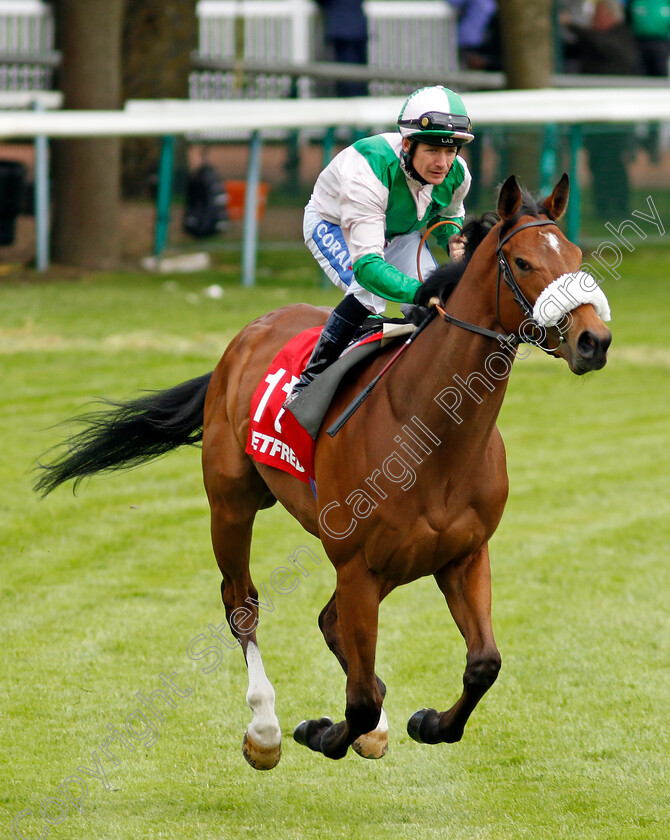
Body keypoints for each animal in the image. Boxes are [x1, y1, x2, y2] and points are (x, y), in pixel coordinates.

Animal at [36, 174, 616, 772]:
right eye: (523, 262)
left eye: (575, 255)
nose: (593, 340)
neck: (430, 433)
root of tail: (249, 333)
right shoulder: (358, 566)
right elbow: (357, 701)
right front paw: (320, 731)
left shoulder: (463, 555)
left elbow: (483, 664)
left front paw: (429, 723)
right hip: (231, 504)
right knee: (242, 604)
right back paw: (264, 729)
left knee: (332, 625)